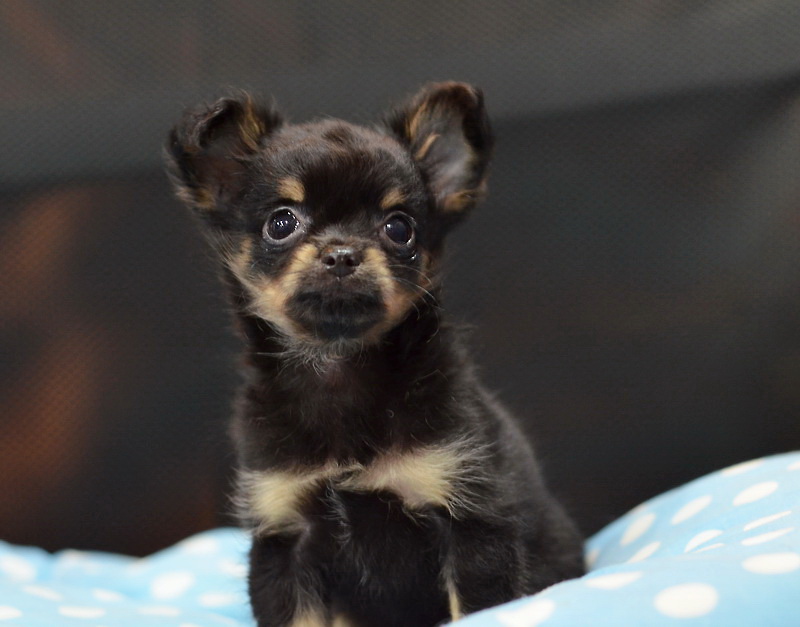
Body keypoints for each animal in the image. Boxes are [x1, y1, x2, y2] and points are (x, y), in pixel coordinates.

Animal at [166, 82, 584, 627]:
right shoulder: (285, 536)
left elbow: (474, 608)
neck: (339, 367)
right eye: (282, 222)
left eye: (399, 228)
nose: (343, 253)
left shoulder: (469, 518)